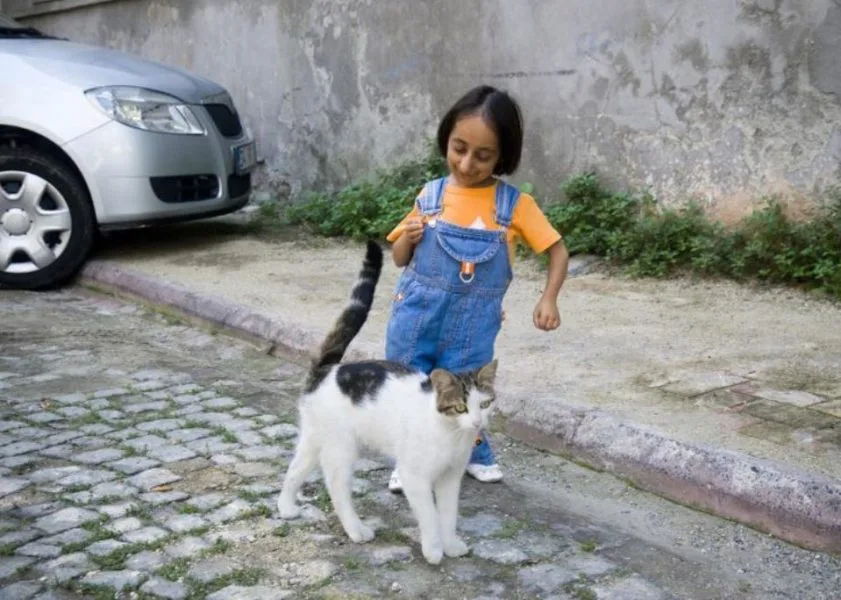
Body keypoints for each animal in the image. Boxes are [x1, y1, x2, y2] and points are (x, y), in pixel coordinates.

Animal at [276, 239, 498, 564]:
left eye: (484, 404)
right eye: (460, 407)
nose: (478, 422)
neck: (451, 434)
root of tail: (329, 369)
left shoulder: (450, 478)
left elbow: (448, 514)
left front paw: (451, 544)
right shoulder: (414, 476)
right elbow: (430, 516)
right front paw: (434, 550)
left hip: (314, 438)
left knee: (295, 469)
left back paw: (287, 507)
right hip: (342, 447)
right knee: (336, 487)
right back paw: (356, 529)